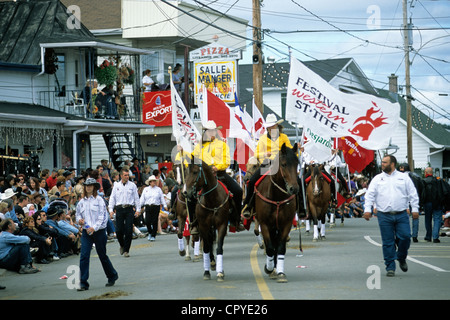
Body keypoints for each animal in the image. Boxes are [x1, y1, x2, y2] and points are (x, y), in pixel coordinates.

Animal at [255, 143, 298, 282]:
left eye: (297, 163)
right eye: (283, 164)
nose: (294, 189)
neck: (277, 197)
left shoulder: (286, 224)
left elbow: (280, 248)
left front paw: (280, 273)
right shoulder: (264, 224)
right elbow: (269, 248)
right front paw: (268, 268)